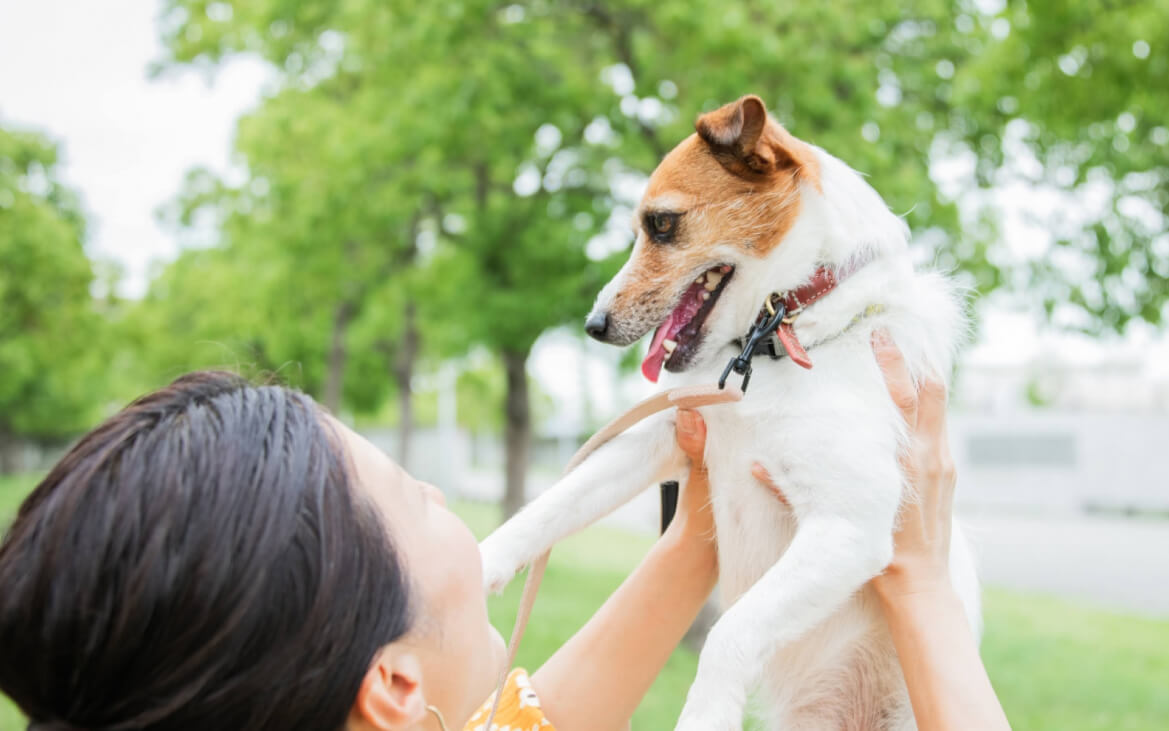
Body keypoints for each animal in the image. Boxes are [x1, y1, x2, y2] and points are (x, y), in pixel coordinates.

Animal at [474, 97, 977, 729]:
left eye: (662, 224)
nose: (593, 326)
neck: (775, 343)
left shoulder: (850, 525)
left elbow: (730, 633)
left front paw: (705, 712)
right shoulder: (665, 434)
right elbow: (550, 506)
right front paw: (474, 564)